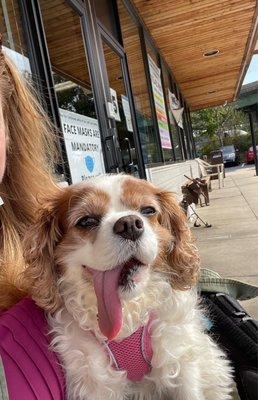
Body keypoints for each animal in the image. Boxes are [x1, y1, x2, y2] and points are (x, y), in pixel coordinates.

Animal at [23, 174, 232, 400]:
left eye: (148, 210)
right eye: (86, 221)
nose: (129, 224)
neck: (127, 311)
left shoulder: (180, 361)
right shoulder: (97, 382)